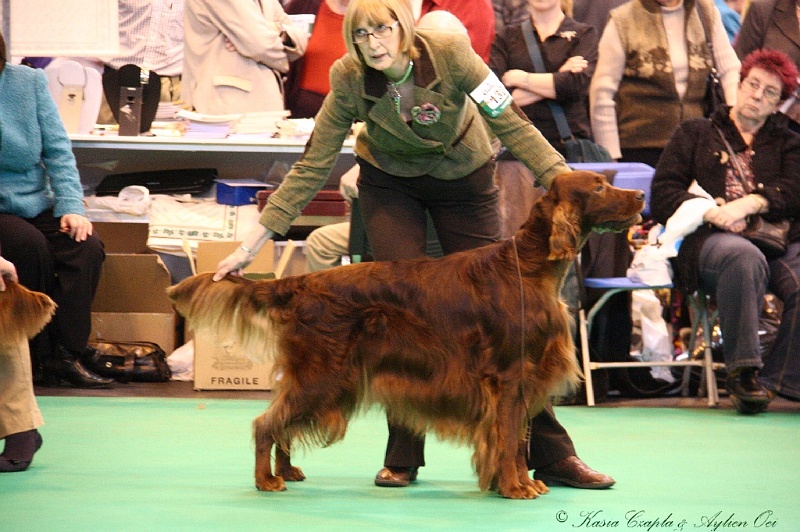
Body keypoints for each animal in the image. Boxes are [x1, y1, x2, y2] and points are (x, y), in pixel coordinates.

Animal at [167, 171, 644, 498]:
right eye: (598, 188)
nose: (640, 195)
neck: (526, 266)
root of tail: (300, 283)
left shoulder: (522, 380)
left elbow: (516, 438)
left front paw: (515, 483)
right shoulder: (509, 378)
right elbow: (509, 439)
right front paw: (514, 488)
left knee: (280, 420)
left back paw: (286, 471)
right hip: (323, 376)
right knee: (265, 422)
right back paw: (266, 480)